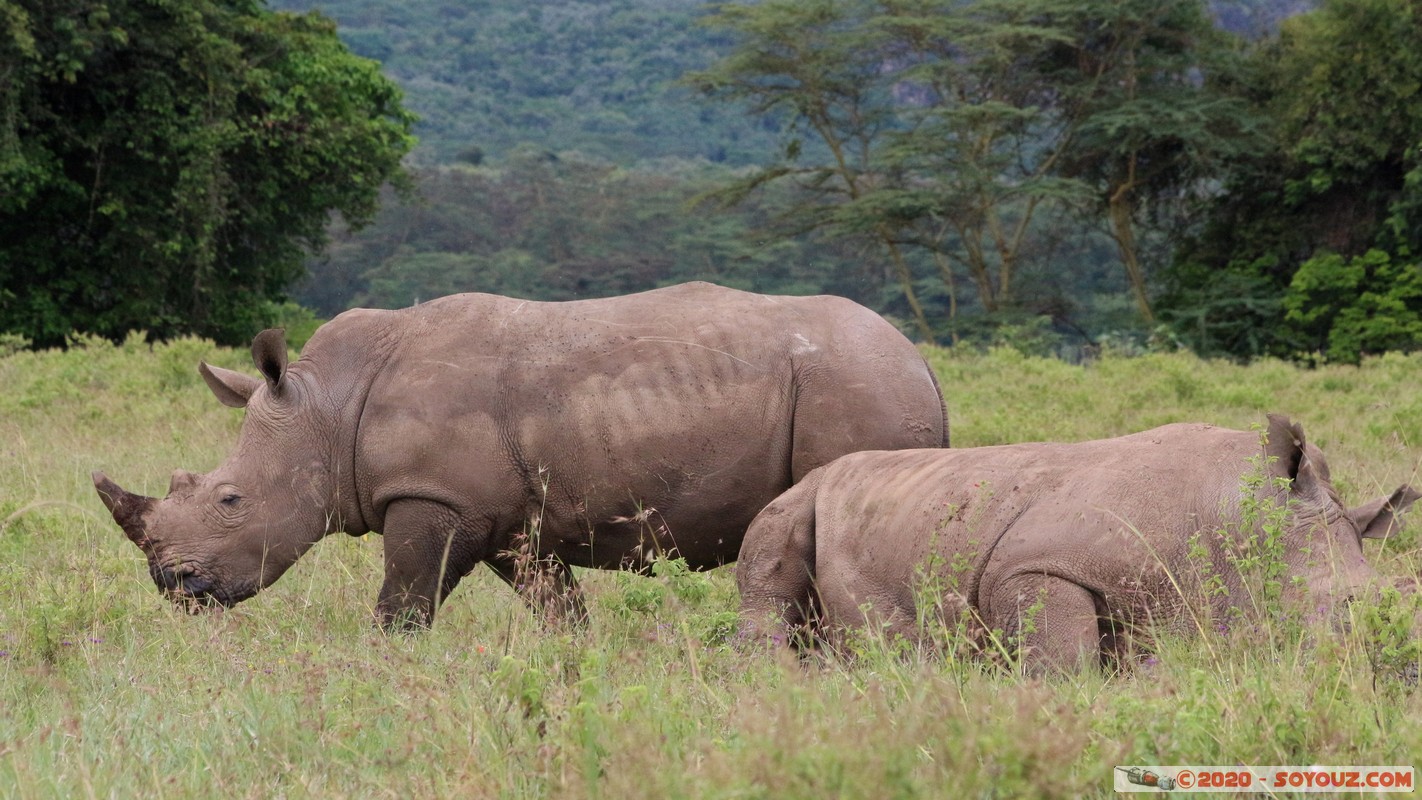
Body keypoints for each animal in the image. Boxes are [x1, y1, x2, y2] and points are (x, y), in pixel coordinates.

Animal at [93, 282, 949, 627]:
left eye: (230, 500)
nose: (174, 586)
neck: (326, 408)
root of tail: (922, 361)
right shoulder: (504, 520)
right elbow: (558, 610)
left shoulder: (432, 497)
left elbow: (403, 607)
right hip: (865, 383)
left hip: (858, 387)